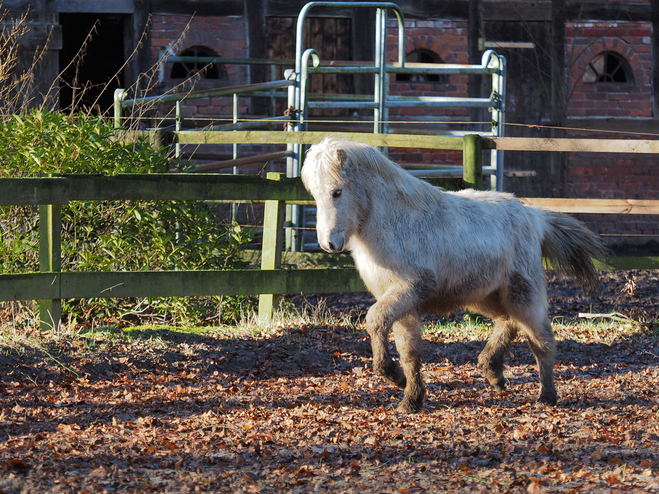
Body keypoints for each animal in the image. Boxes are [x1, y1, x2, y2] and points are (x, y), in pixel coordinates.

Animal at [302, 135, 604, 412]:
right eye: (315, 195)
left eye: (337, 192)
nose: (328, 244)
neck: (394, 221)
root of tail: (534, 216)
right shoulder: (401, 301)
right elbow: (409, 350)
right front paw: (410, 399)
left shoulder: (411, 288)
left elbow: (375, 320)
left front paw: (395, 377)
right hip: (485, 296)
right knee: (509, 322)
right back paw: (493, 373)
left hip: (522, 295)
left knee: (541, 340)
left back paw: (546, 396)